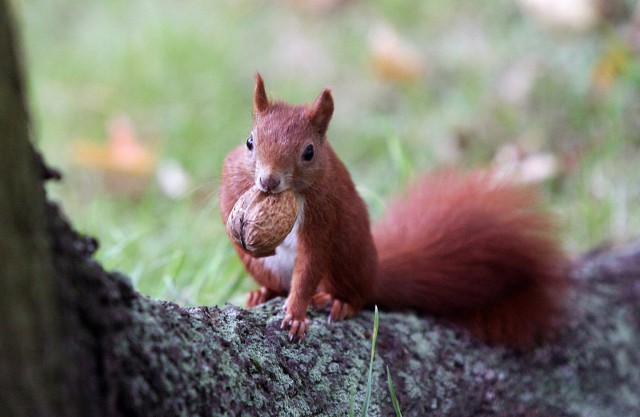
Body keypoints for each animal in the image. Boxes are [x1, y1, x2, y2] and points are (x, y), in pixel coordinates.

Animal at [218, 73, 568, 346]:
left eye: (309, 152)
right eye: (249, 142)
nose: (269, 181)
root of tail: (374, 272)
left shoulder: (324, 212)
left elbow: (310, 262)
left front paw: (295, 314)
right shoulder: (233, 175)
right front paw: (243, 231)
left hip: (346, 257)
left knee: (356, 295)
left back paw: (336, 301)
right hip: (266, 268)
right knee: (277, 284)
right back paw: (262, 293)